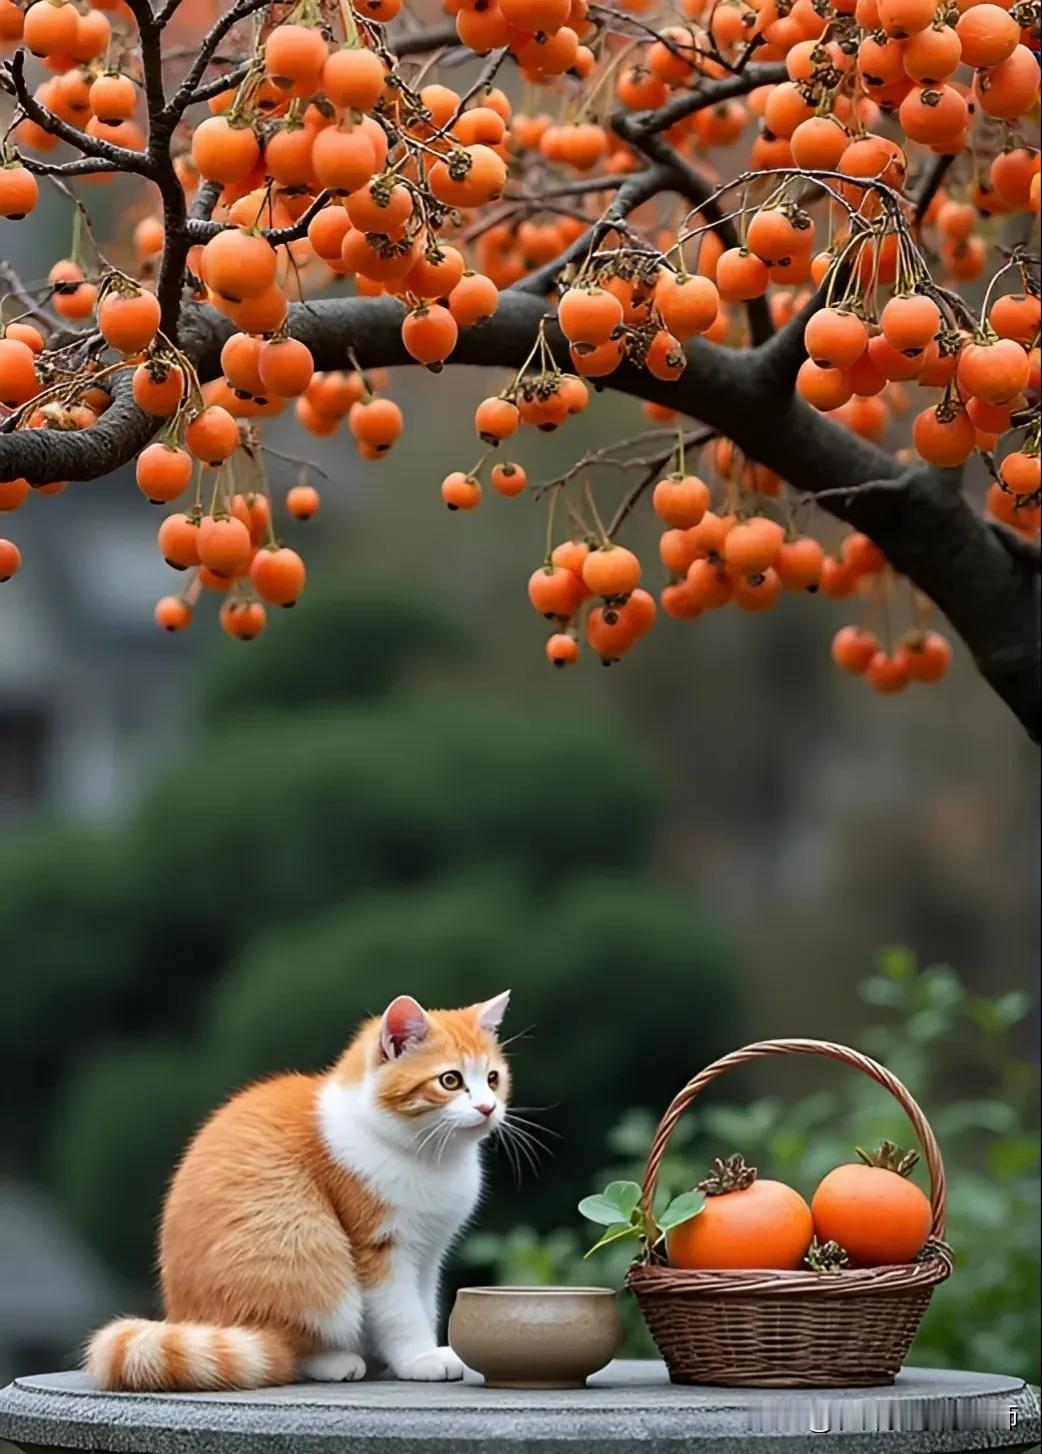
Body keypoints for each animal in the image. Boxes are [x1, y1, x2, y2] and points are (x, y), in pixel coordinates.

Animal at [87, 994, 511, 1390]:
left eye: (492, 1079)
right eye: (450, 1080)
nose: (488, 1108)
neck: (431, 1158)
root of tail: (190, 1321)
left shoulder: (428, 1253)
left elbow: (423, 1303)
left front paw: (417, 1355)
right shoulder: (378, 1249)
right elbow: (400, 1312)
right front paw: (420, 1359)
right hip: (307, 1256)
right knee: (280, 1350)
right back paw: (334, 1361)